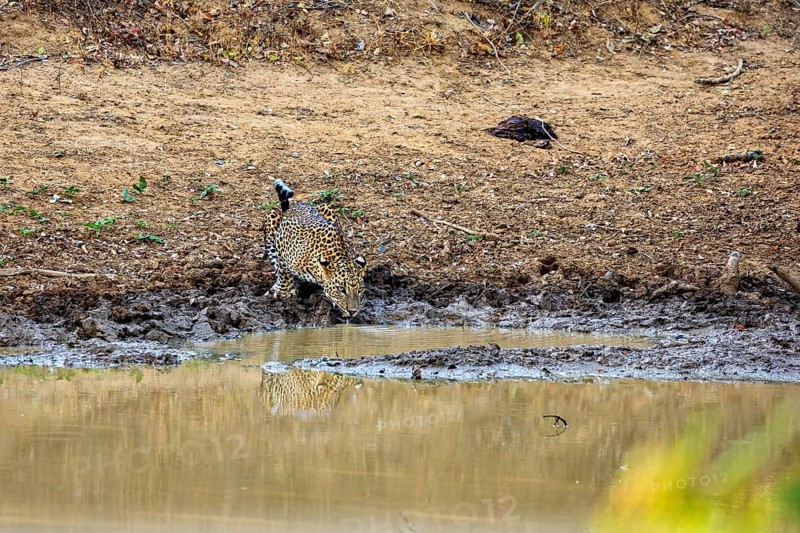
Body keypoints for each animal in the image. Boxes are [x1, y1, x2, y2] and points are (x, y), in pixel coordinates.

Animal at [264, 179, 366, 317]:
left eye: (360, 289)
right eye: (341, 289)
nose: (353, 311)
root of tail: (292, 207)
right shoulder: (282, 243)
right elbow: (283, 271)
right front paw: (283, 292)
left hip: (326, 207)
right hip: (271, 217)